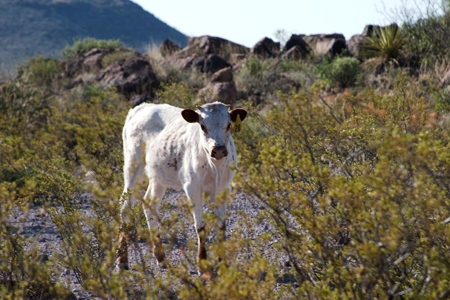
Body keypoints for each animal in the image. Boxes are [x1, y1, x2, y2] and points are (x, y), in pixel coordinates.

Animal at [116, 101, 248, 270]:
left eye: (228, 125)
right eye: (202, 126)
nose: (218, 150)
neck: (215, 166)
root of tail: (142, 107)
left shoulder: (223, 188)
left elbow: (221, 226)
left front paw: (222, 262)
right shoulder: (192, 187)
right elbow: (200, 226)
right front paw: (203, 265)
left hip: (158, 176)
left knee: (150, 203)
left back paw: (161, 257)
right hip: (133, 168)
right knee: (125, 207)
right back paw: (122, 259)